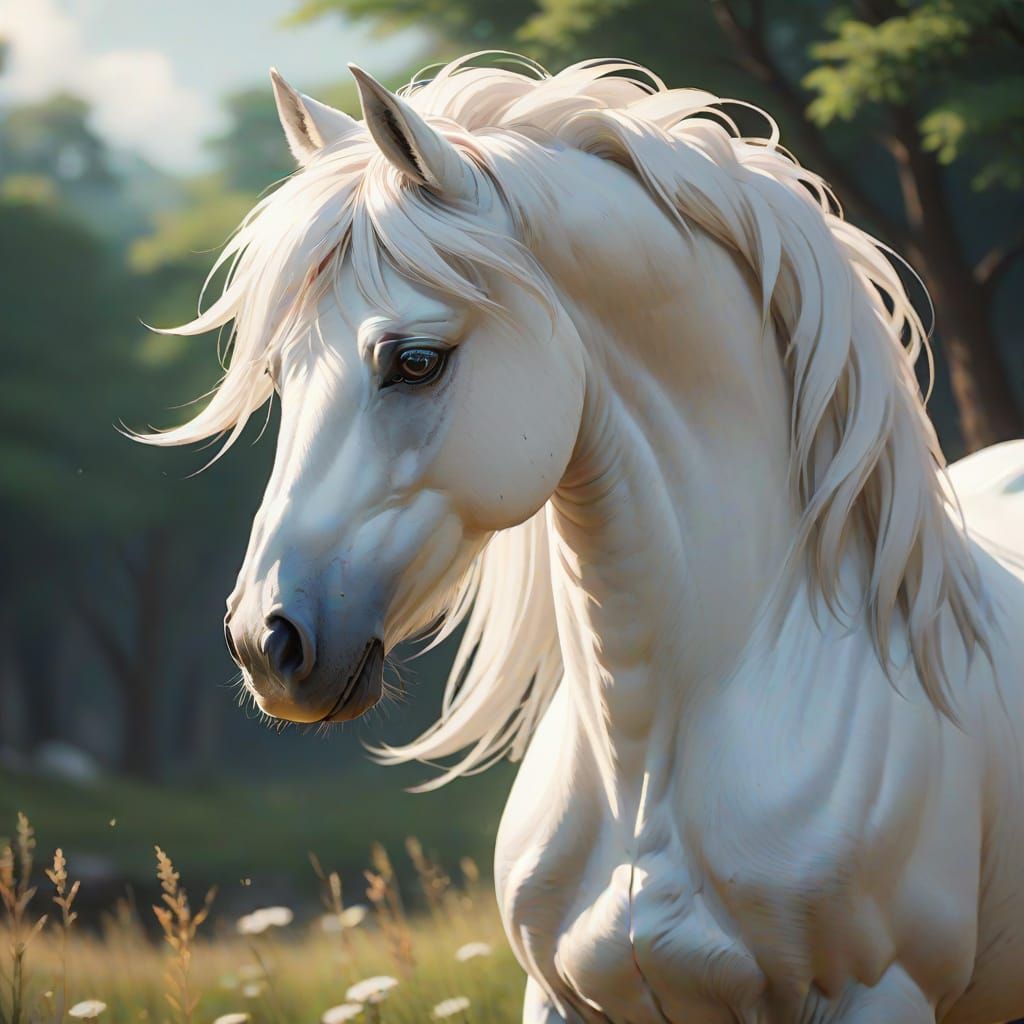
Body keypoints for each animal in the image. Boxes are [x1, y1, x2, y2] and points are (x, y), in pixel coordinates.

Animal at [139, 53, 1024, 1023]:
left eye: (416, 361)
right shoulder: (560, 995)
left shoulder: (879, 994)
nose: (266, 641)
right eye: (279, 372)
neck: (649, 764)